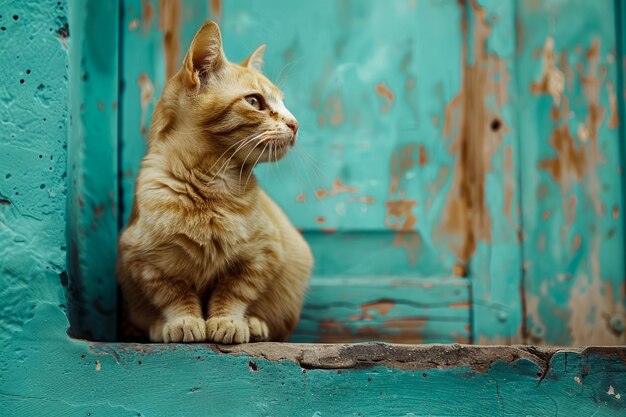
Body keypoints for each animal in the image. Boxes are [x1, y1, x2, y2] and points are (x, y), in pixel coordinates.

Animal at [116, 20, 312, 344]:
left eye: (284, 104)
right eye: (255, 101)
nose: (295, 124)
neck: (211, 188)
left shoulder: (263, 255)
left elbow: (232, 292)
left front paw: (228, 321)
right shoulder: (144, 262)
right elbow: (174, 294)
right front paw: (182, 321)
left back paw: (255, 324)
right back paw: (156, 327)